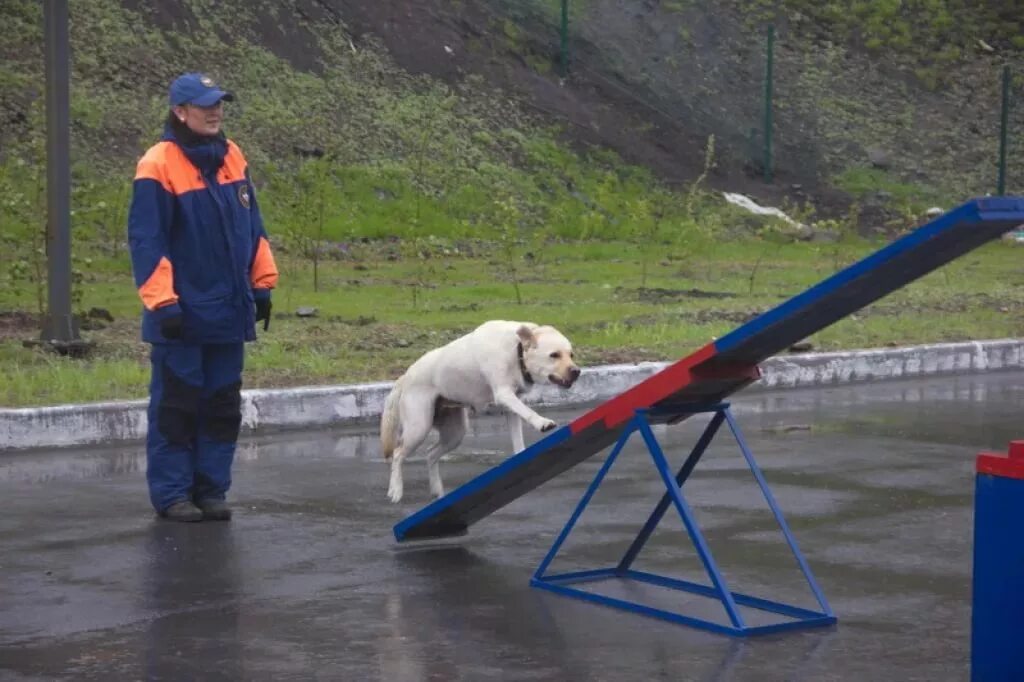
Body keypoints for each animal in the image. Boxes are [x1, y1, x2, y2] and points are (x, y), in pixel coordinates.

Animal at [380, 319, 581, 499]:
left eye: (571, 355)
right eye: (554, 355)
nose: (576, 371)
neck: (517, 351)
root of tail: (405, 377)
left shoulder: (512, 406)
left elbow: (518, 439)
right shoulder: (503, 394)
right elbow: (529, 413)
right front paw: (542, 422)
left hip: (455, 433)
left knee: (431, 453)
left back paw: (437, 490)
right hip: (419, 427)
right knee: (398, 454)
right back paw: (395, 491)